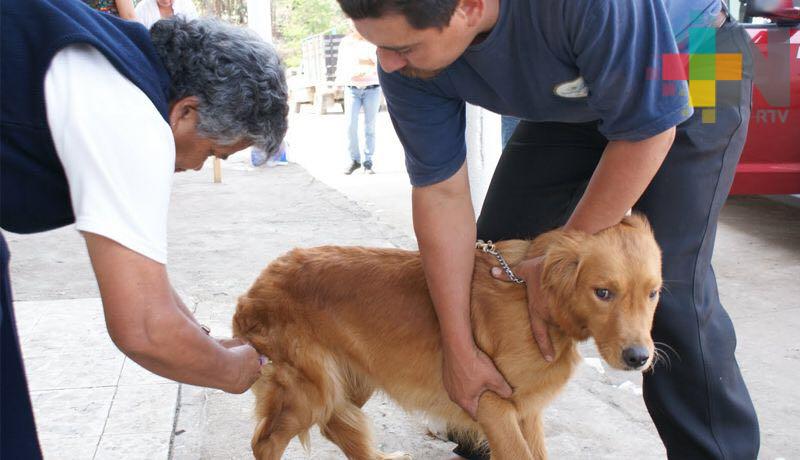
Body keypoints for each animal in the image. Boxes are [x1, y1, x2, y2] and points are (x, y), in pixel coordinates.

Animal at [234, 214, 664, 458]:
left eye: (654, 293)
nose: (638, 358)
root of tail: (256, 287)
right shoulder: (493, 405)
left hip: (354, 379)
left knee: (336, 428)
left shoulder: (527, 412)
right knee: (265, 442)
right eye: (602, 292)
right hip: (310, 389)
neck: (532, 298)